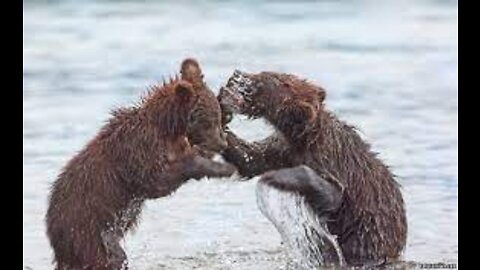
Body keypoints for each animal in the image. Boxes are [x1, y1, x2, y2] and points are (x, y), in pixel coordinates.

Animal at [45, 58, 236, 268]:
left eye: (217, 116)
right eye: (209, 121)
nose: (222, 143)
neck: (166, 127)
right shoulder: (139, 152)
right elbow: (157, 181)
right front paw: (223, 166)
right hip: (87, 231)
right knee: (109, 258)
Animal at [219, 70, 406, 266]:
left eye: (277, 78)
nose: (239, 74)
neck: (302, 138)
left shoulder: (329, 159)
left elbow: (334, 194)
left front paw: (275, 178)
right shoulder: (281, 149)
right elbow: (250, 159)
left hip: (368, 240)